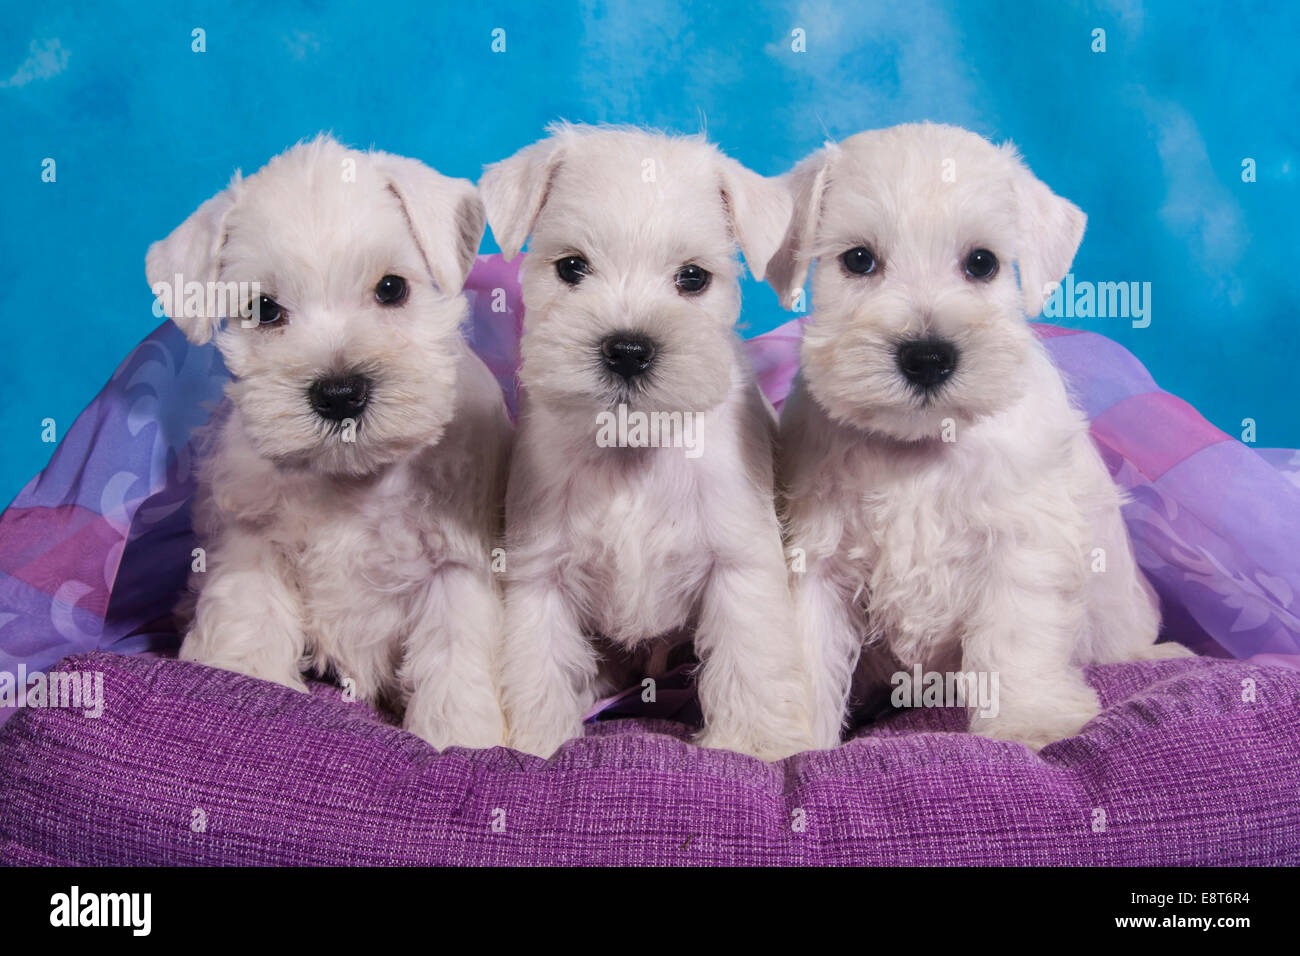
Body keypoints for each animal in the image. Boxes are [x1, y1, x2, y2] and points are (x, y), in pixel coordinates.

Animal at [143, 136, 506, 749]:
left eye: (392, 288)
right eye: (263, 308)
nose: (339, 394)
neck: (352, 479)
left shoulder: (456, 566)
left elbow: (457, 661)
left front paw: (463, 739)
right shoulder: (252, 540)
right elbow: (248, 621)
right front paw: (240, 679)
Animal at [483, 123, 811, 759]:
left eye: (693, 277)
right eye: (571, 267)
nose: (628, 350)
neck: (631, 446)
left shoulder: (737, 563)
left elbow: (748, 658)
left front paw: (753, 746)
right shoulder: (540, 573)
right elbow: (539, 665)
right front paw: (538, 743)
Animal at [764, 125, 1190, 754]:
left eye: (982, 262)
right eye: (858, 260)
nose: (927, 357)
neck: (919, 446)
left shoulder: (1021, 546)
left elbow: (1015, 639)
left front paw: (1030, 721)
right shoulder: (818, 560)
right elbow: (806, 650)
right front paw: (788, 742)